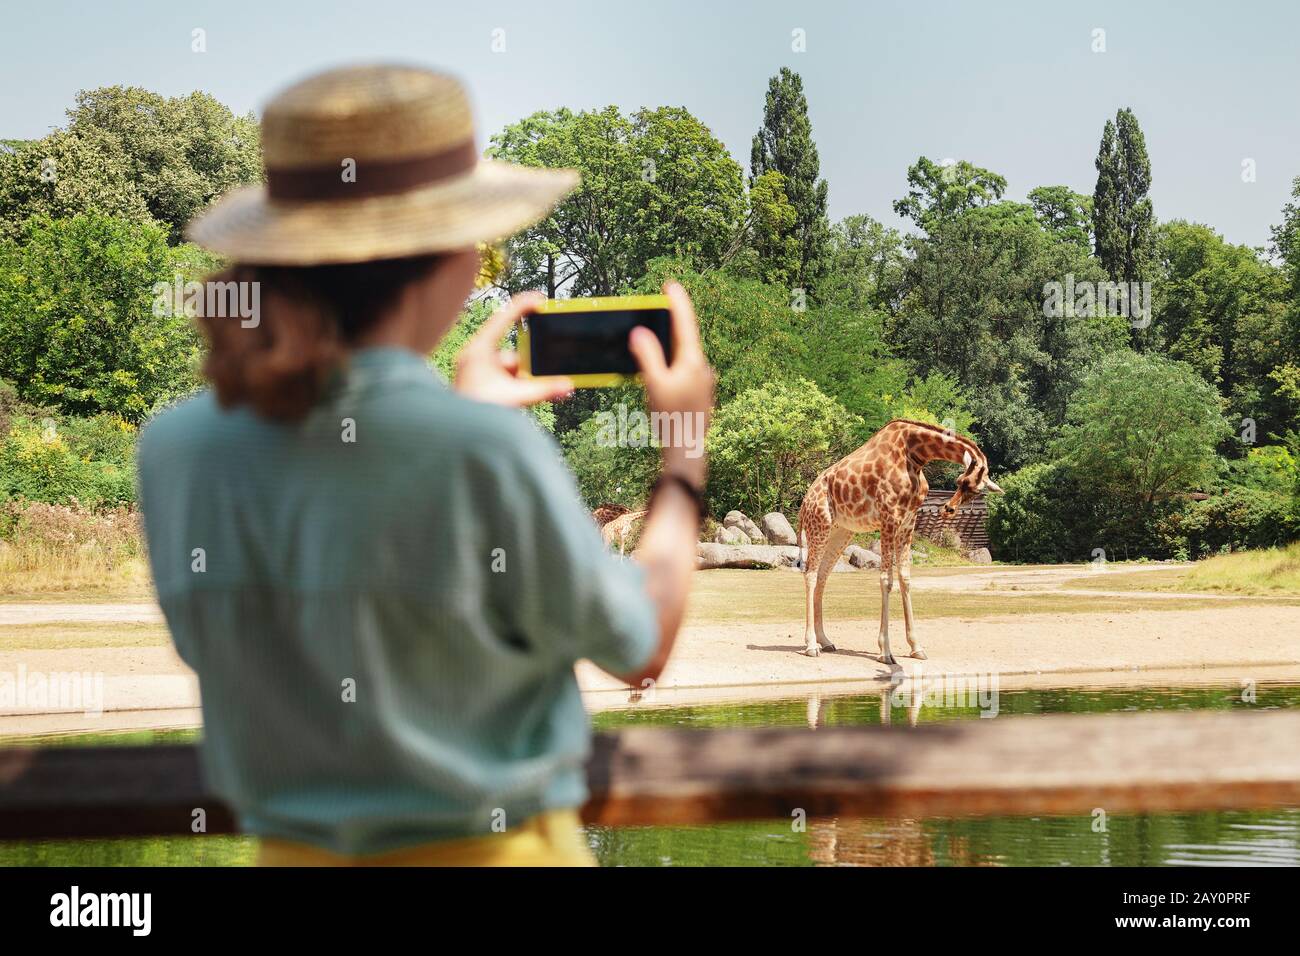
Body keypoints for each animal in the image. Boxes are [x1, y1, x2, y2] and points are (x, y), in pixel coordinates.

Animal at [795, 421, 998, 660]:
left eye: (975, 491)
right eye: (960, 481)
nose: (949, 509)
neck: (916, 455)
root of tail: (804, 503)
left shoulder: (908, 521)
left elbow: (905, 579)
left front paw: (916, 647)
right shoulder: (888, 518)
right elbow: (886, 580)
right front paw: (885, 651)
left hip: (841, 531)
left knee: (822, 576)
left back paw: (825, 641)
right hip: (819, 524)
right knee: (810, 573)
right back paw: (811, 645)